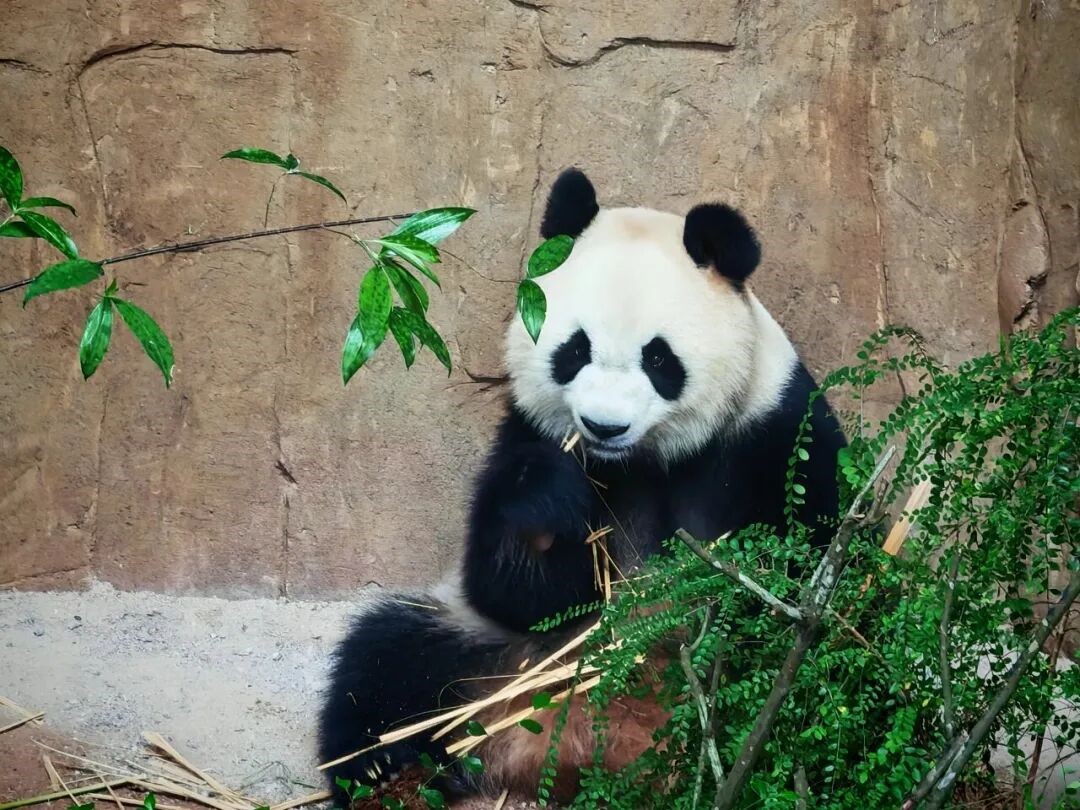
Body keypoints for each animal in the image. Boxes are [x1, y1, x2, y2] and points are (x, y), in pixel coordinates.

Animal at [318, 168, 846, 805]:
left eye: (659, 359)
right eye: (574, 350)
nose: (603, 426)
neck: (641, 463)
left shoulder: (775, 432)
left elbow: (811, 567)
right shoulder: (525, 431)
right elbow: (516, 586)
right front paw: (550, 505)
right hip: (494, 655)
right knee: (386, 659)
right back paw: (390, 772)